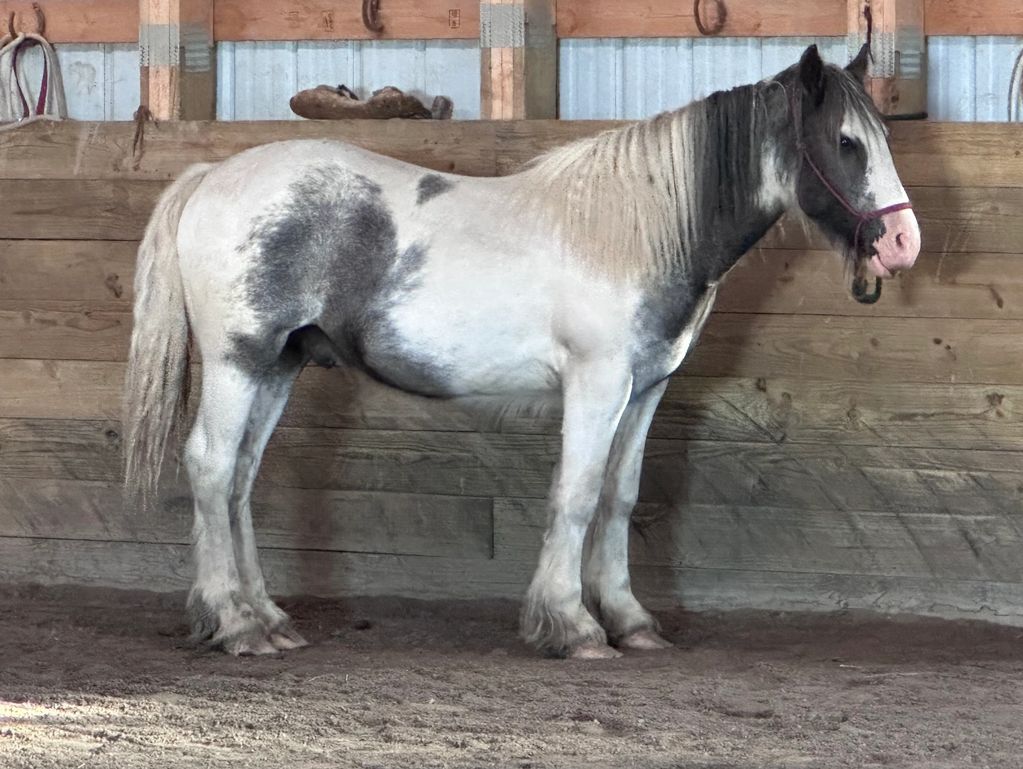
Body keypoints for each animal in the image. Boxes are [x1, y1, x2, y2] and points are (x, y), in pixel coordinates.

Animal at [124, 44, 920, 659]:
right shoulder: (596, 385)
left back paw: (267, 619)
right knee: (212, 466)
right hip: (239, 362)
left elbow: (618, 496)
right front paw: (571, 625)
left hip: (277, 368)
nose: (902, 243)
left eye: (880, 136)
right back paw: (234, 625)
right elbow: (576, 494)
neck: (634, 227)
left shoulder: (644, 390)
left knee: (239, 479)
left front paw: (629, 621)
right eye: (845, 142)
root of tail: (211, 179)